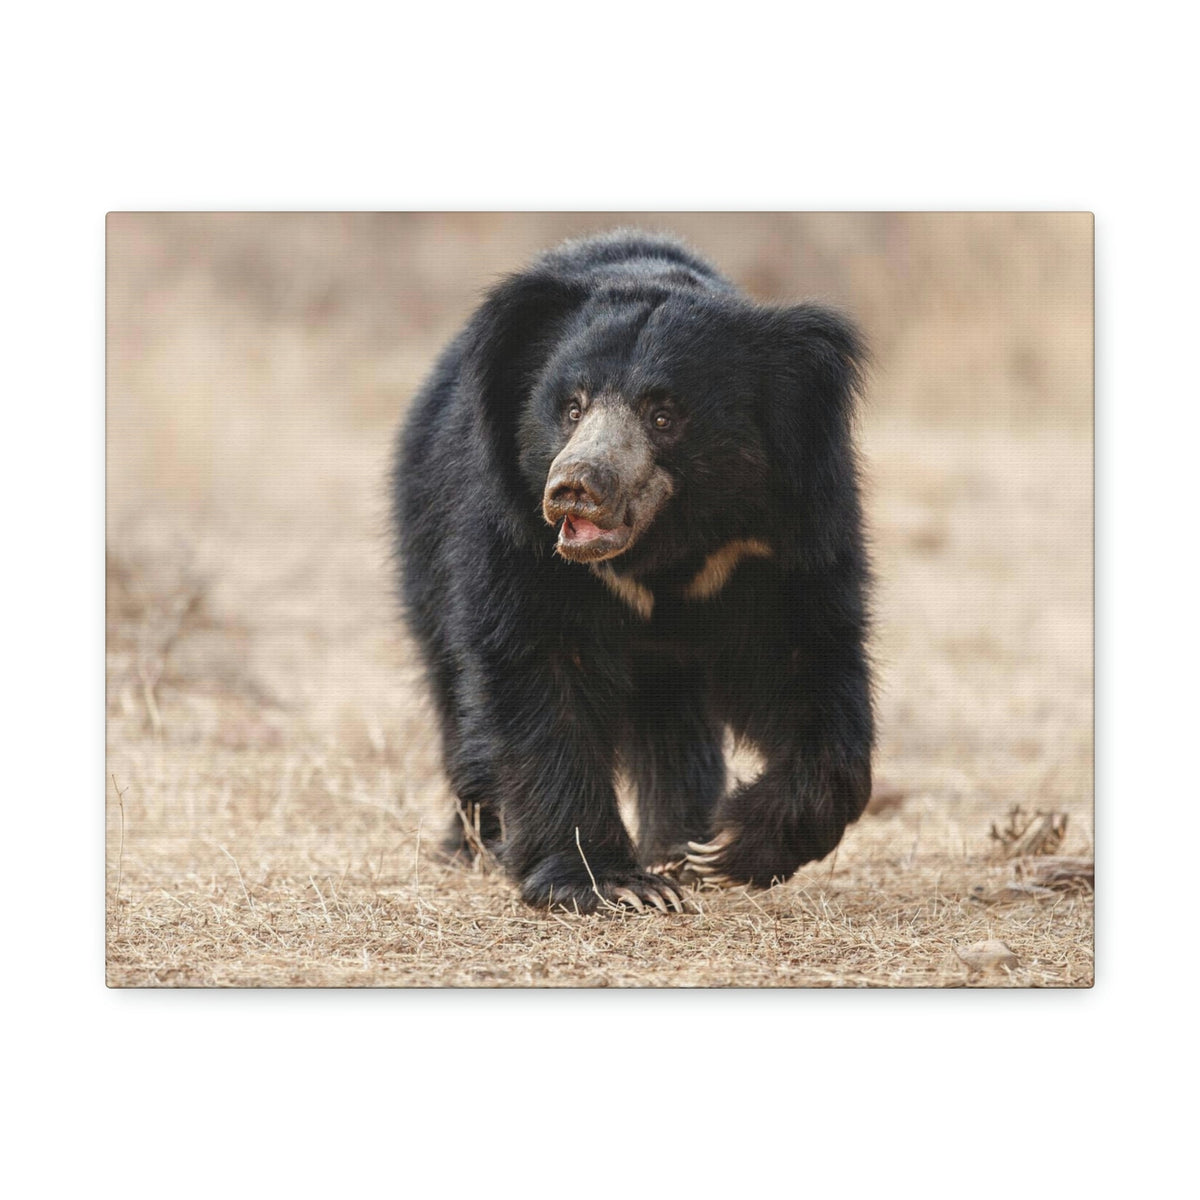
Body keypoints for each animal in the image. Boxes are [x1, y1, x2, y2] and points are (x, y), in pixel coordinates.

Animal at [392, 230, 873, 913]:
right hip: (424, 544)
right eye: (571, 407)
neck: (662, 551)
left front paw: (724, 847)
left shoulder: (781, 539)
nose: (575, 489)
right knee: (453, 690)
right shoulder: (516, 537)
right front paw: (614, 883)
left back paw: (678, 844)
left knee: (675, 727)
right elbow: (536, 673)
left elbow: (807, 661)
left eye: (663, 415)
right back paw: (476, 843)